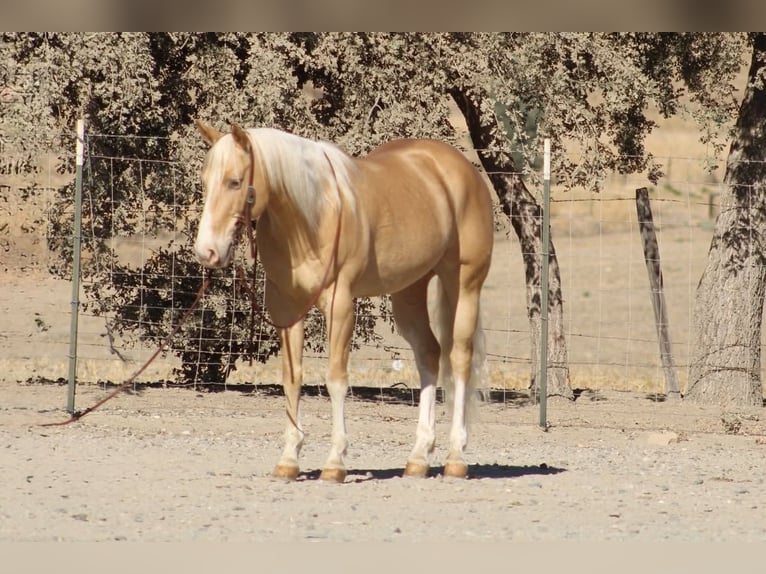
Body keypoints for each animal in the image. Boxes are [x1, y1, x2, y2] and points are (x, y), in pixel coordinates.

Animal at [193, 121, 494, 482]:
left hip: (464, 284)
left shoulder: (340, 307)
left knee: (460, 359)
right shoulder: (287, 310)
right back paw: (418, 458)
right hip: (409, 291)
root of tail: (462, 168)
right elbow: (291, 379)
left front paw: (335, 462)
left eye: (234, 181)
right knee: (429, 355)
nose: (207, 252)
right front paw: (289, 459)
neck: (312, 217)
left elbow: (336, 379)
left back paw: (456, 457)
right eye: (205, 181)